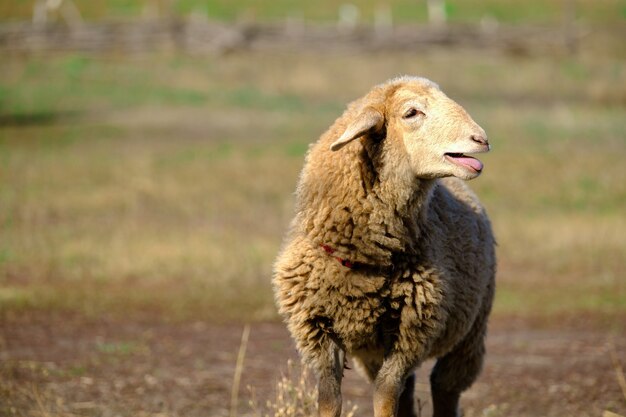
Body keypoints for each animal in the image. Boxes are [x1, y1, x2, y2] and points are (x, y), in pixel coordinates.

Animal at [272, 75, 492, 416]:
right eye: (411, 113)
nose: (480, 139)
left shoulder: (409, 331)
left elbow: (385, 395)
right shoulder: (317, 330)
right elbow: (330, 398)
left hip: (471, 330)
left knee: (444, 386)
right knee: (410, 390)